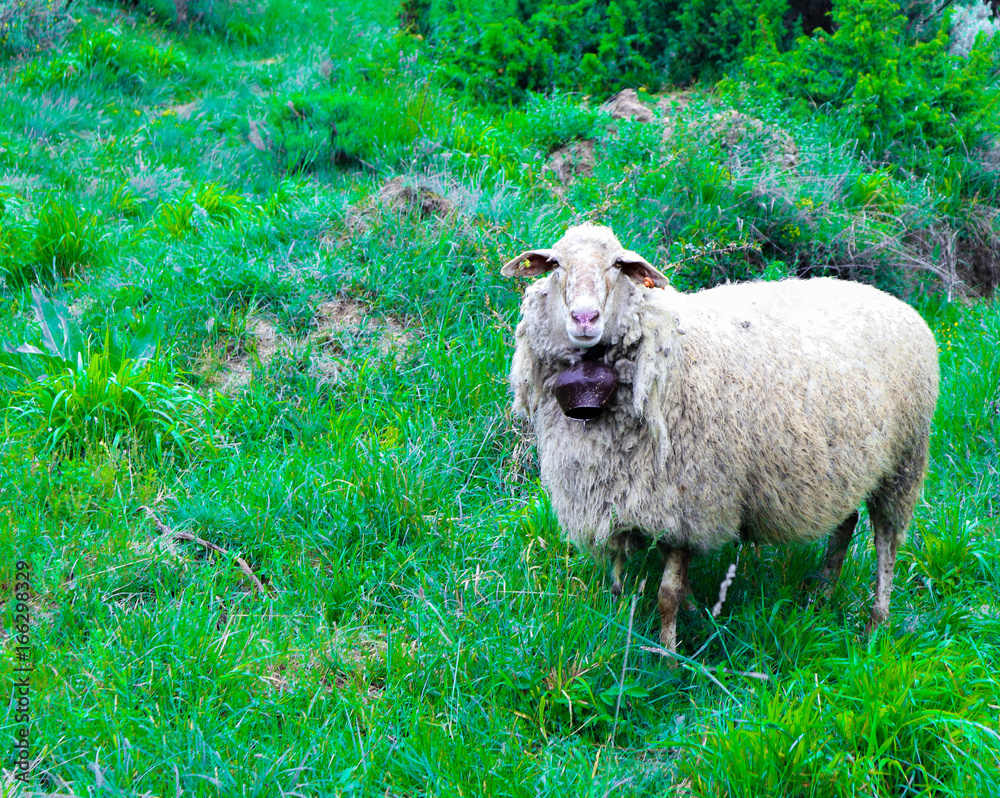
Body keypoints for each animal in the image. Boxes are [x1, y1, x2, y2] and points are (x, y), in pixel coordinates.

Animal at [504, 222, 940, 652]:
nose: (585, 318)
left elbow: (667, 594)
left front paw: (670, 656)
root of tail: (894, 302)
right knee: (845, 522)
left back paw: (875, 625)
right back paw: (821, 593)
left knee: (886, 543)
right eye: (555, 265)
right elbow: (634, 586)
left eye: (617, 264)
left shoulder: (690, 500)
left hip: (904, 461)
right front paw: (678, 621)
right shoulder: (624, 499)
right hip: (842, 464)